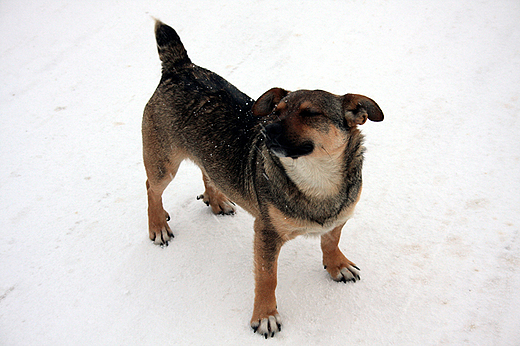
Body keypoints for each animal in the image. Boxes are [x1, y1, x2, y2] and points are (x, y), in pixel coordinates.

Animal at [141, 21, 382, 338]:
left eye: (311, 113)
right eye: (276, 112)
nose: (267, 131)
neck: (316, 180)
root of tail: (181, 66)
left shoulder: (340, 216)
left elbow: (331, 241)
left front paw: (336, 265)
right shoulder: (265, 232)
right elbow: (268, 277)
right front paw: (265, 316)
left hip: (203, 154)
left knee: (208, 169)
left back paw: (216, 199)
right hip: (163, 163)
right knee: (151, 188)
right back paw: (157, 225)